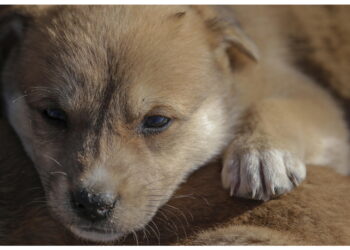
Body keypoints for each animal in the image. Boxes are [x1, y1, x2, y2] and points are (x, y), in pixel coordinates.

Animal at [0, 5, 348, 244]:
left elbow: (281, 107)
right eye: (53, 115)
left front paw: (261, 153)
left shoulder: (305, 92)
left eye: (156, 121)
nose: (93, 204)